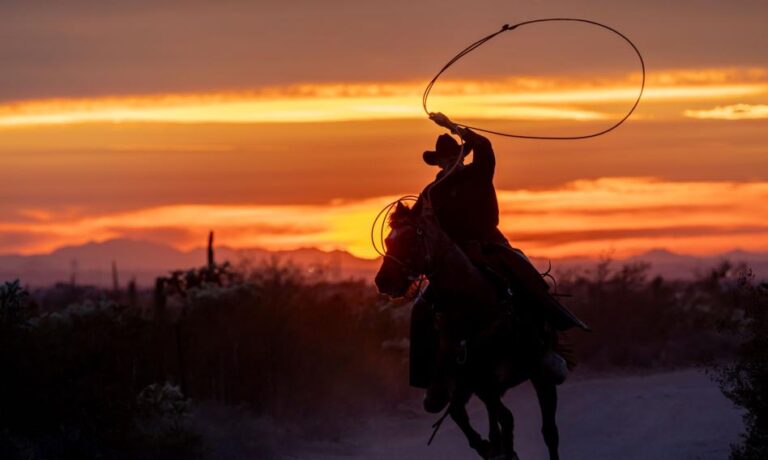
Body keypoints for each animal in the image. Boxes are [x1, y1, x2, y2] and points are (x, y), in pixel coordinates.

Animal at [376, 201, 564, 460]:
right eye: (388, 240)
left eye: (412, 238)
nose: (383, 281)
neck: (471, 306)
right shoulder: (469, 381)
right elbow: (466, 415)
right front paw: (490, 448)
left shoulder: (486, 380)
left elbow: (505, 419)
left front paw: (502, 450)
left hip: (540, 374)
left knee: (549, 432)